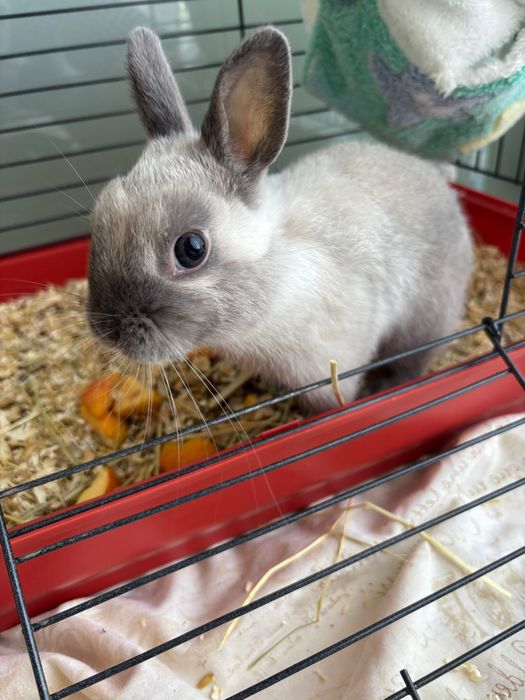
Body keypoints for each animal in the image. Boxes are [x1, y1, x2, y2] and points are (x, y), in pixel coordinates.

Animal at [86, 26, 473, 413]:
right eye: (99, 216)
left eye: (191, 249)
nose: (107, 330)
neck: (279, 272)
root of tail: (439, 177)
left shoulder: (329, 367)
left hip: (427, 316)